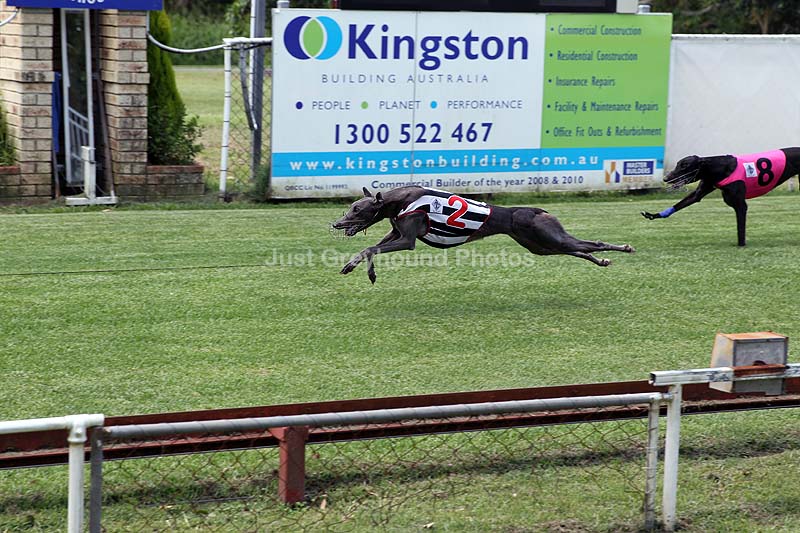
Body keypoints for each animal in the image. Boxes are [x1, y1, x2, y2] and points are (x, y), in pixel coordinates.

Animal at [331, 186, 634, 283]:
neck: (399, 200)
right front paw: (358, 268)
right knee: (579, 250)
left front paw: (361, 269)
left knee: (592, 243)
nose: (336, 224)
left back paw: (623, 248)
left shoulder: (407, 241)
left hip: (549, 238)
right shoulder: (394, 234)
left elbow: (370, 248)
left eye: (357, 209)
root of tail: (537, 210)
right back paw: (602, 261)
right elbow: (370, 249)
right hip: (541, 246)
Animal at [642, 147, 800, 246]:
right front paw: (654, 215)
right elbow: (683, 202)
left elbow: (740, 229)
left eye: (684, 166)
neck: (718, 167)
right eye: (678, 164)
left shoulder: (741, 206)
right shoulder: (703, 189)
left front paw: (741, 245)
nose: (666, 178)